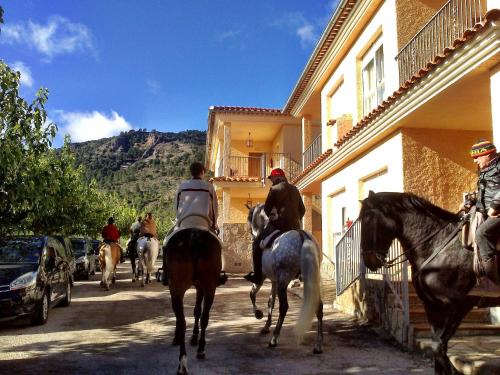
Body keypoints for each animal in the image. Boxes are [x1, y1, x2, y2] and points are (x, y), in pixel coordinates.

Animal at [163, 228, 222, 375]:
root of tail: (194, 236)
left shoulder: (174, 289)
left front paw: (178, 336)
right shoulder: (200, 286)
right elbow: (197, 311)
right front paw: (194, 337)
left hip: (178, 287)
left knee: (183, 321)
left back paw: (183, 362)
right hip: (210, 286)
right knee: (205, 317)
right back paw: (200, 350)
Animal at [247, 204, 324, 354]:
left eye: (249, 218)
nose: (251, 236)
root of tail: (303, 236)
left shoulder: (262, 278)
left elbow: (252, 294)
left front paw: (258, 314)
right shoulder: (274, 281)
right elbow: (270, 302)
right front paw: (266, 326)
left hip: (284, 281)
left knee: (284, 307)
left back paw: (274, 339)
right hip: (309, 281)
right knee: (319, 306)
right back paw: (318, 345)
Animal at [360, 192, 500, 374]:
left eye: (368, 218)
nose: (369, 261)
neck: (438, 246)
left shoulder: (458, 306)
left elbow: (438, 347)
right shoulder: (433, 306)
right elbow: (439, 348)